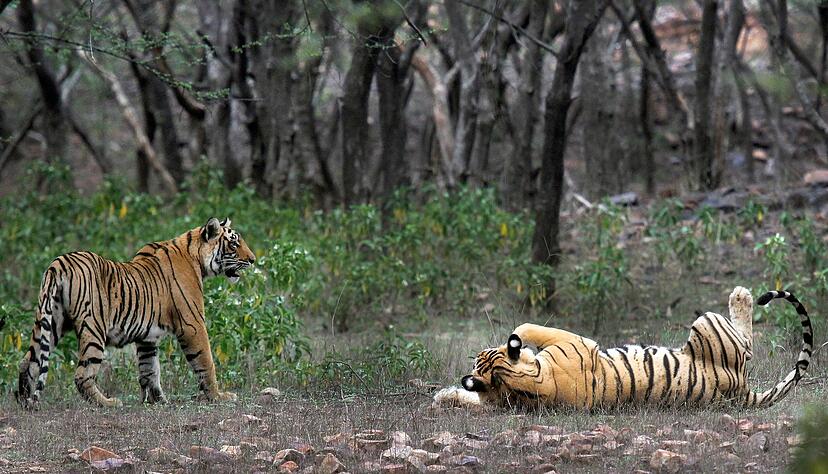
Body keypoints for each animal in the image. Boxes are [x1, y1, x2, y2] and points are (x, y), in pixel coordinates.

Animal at [15, 217, 255, 409]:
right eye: (234, 243)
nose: (252, 259)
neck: (196, 257)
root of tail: (59, 263)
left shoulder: (147, 337)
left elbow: (150, 369)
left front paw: (158, 400)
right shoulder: (192, 324)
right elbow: (206, 362)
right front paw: (218, 396)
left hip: (51, 321)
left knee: (29, 361)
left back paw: (23, 400)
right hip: (93, 328)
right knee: (82, 374)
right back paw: (108, 402)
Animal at [434, 287, 812, 410]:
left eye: (480, 357)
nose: (477, 354)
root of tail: (742, 391)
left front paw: (445, 396)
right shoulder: (575, 341)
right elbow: (528, 328)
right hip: (707, 323)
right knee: (747, 343)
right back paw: (742, 295)